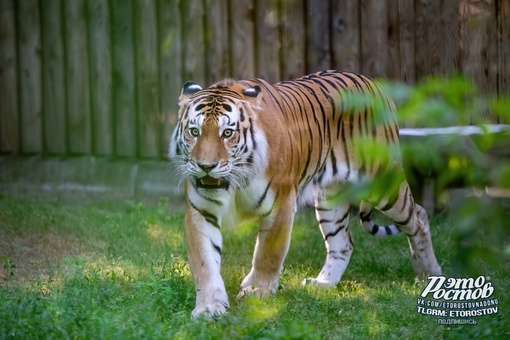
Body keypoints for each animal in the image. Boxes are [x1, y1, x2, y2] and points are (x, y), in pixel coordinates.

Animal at [168, 69, 442, 318]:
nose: (206, 166)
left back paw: (429, 274)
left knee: (419, 216)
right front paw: (209, 307)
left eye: (227, 133)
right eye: (194, 132)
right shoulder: (201, 211)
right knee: (343, 243)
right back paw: (323, 284)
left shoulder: (281, 204)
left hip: (382, 183)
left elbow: (268, 254)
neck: (234, 181)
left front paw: (258, 293)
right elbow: (205, 263)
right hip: (331, 199)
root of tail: (373, 82)